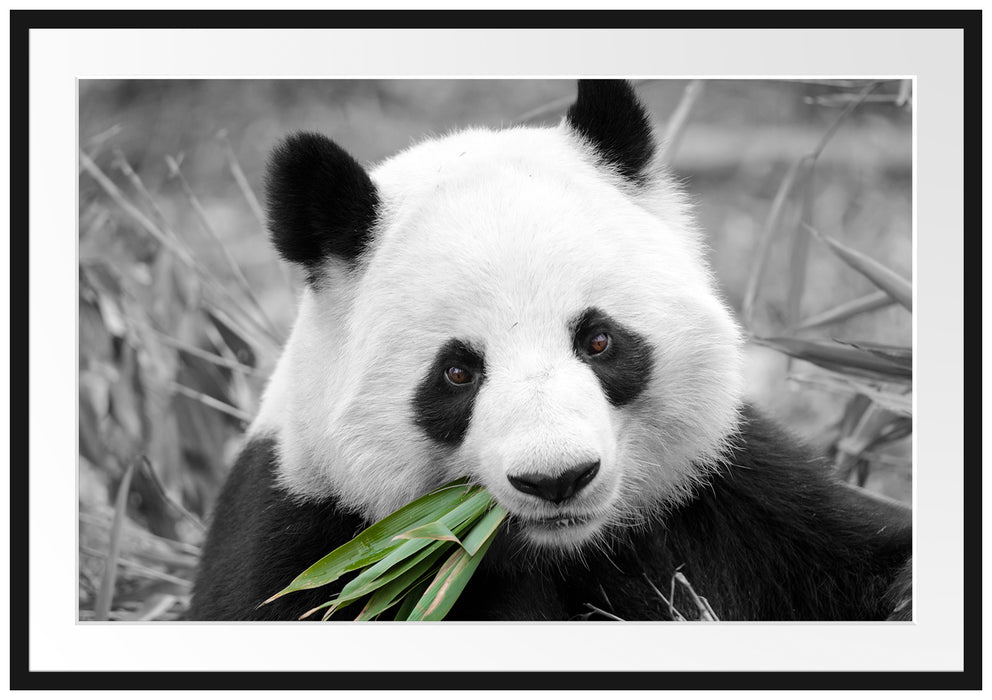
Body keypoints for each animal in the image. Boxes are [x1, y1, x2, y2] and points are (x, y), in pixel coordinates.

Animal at [189, 80, 912, 621]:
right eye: (457, 372)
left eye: (598, 339)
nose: (557, 478)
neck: (560, 550)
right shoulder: (311, 541)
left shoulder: (737, 497)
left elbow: (874, 562)